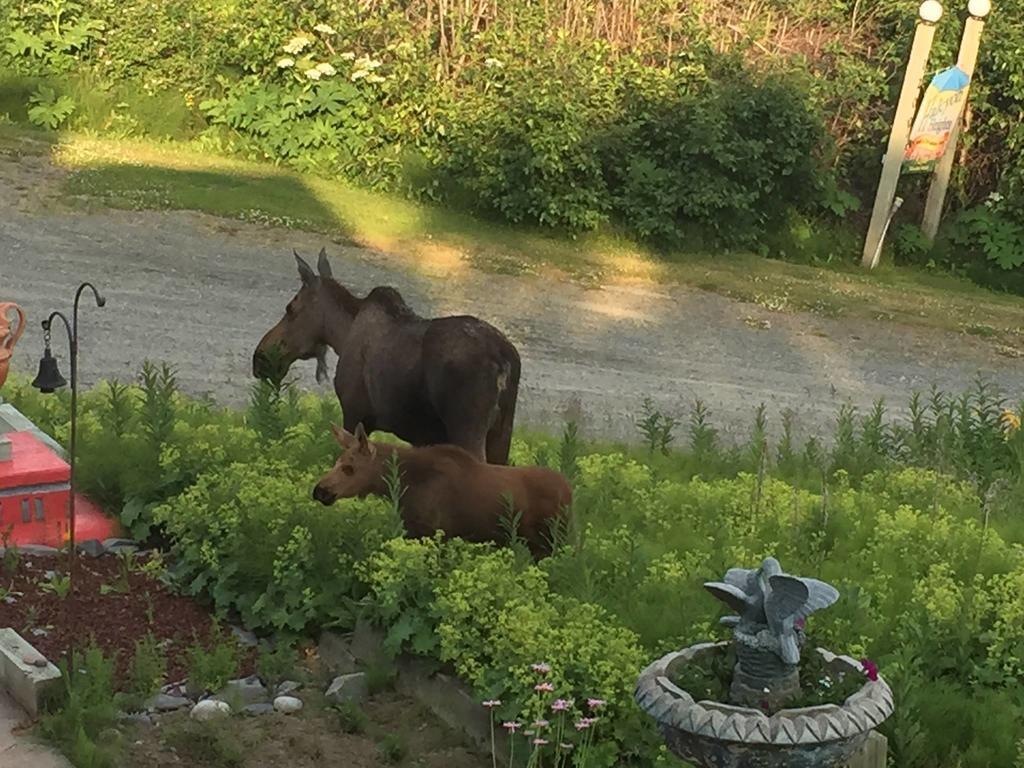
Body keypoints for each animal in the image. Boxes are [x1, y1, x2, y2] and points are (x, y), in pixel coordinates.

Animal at [248, 249, 520, 462]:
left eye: (290, 308)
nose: (260, 357)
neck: (342, 334)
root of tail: (504, 360)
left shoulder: (354, 412)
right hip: (501, 434)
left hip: (467, 430)